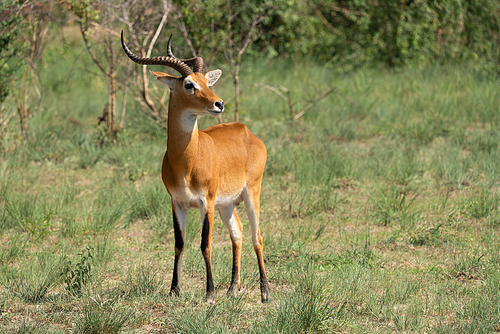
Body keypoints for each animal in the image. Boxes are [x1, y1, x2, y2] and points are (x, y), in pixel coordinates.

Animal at [121, 32, 270, 302]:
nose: (219, 103)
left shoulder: (205, 202)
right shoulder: (177, 202)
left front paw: (209, 293)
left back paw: (265, 294)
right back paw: (233, 288)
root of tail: (247, 132)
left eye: (206, 81)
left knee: (257, 237)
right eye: (189, 84)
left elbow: (205, 244)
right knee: (238, 233)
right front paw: (174, 289)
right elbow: (179, 243)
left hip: (251, 193)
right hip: (227, 204)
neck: (186, 162)